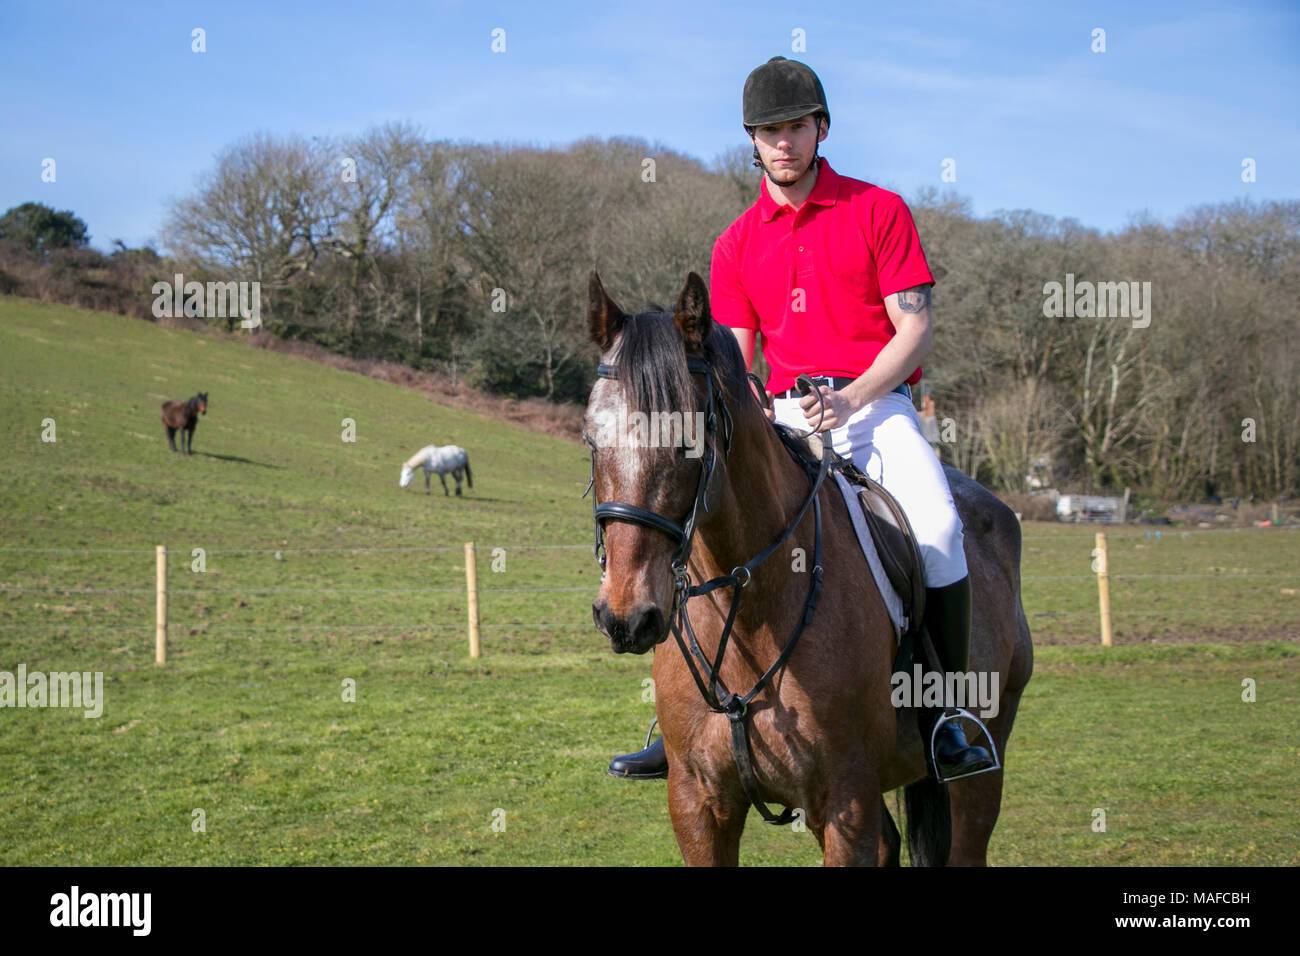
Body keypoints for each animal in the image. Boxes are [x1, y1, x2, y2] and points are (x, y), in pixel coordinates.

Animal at [585, 273, 1029, 868]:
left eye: (688, 442)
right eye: (591, 439)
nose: (625, 618)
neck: (750, 611)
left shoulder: (846, 801)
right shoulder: (698, 806)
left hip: (982, 765)